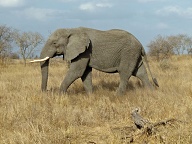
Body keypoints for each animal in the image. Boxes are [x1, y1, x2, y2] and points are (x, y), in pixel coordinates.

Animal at [30, 27, 159, 95]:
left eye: (54, 43)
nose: (46, 92)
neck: (71, 30)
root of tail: (140, 44)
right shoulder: (85, 53)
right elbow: (85, 74)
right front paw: (90, 96)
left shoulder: (84, 51)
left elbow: (76, 72)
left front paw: (60, 95)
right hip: (134, 54)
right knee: (140, 73)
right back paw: (151, 92)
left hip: (128, 53)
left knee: (125, 73)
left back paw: (116, 95)